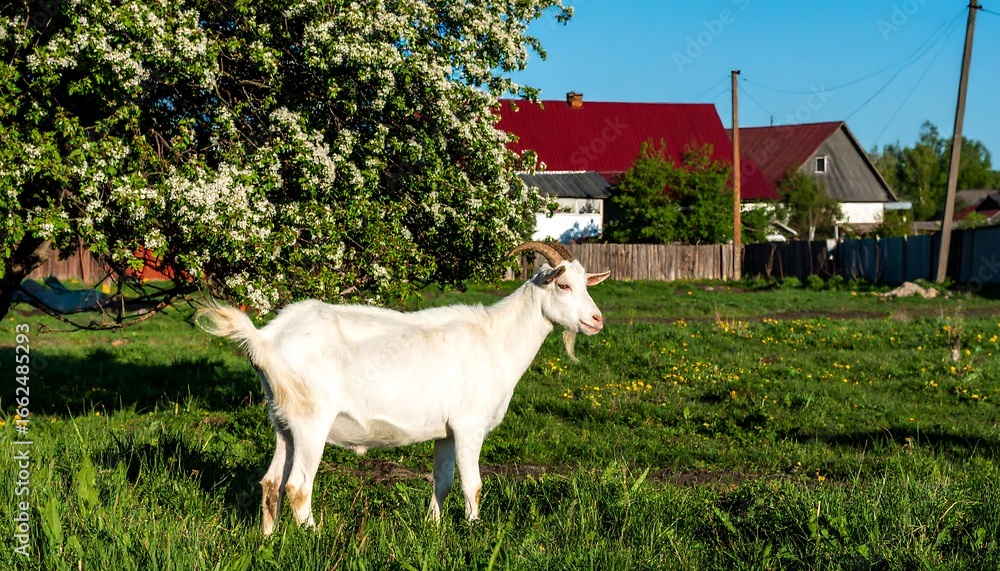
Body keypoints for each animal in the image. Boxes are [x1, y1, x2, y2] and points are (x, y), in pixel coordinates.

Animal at [197, 242, 610, 534]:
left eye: (584, 284)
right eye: (562, 284)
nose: (596, 319)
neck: (496, 339)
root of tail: (265, 340)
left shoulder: (446, 432)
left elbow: (443, 482)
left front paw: (433, 528)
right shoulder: (469, 426)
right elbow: (473, 485)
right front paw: (474, 533)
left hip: (283, 420)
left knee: (271, 483)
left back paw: (268, 540)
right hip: (311, 421)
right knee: (298, 486)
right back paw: (315, 536)